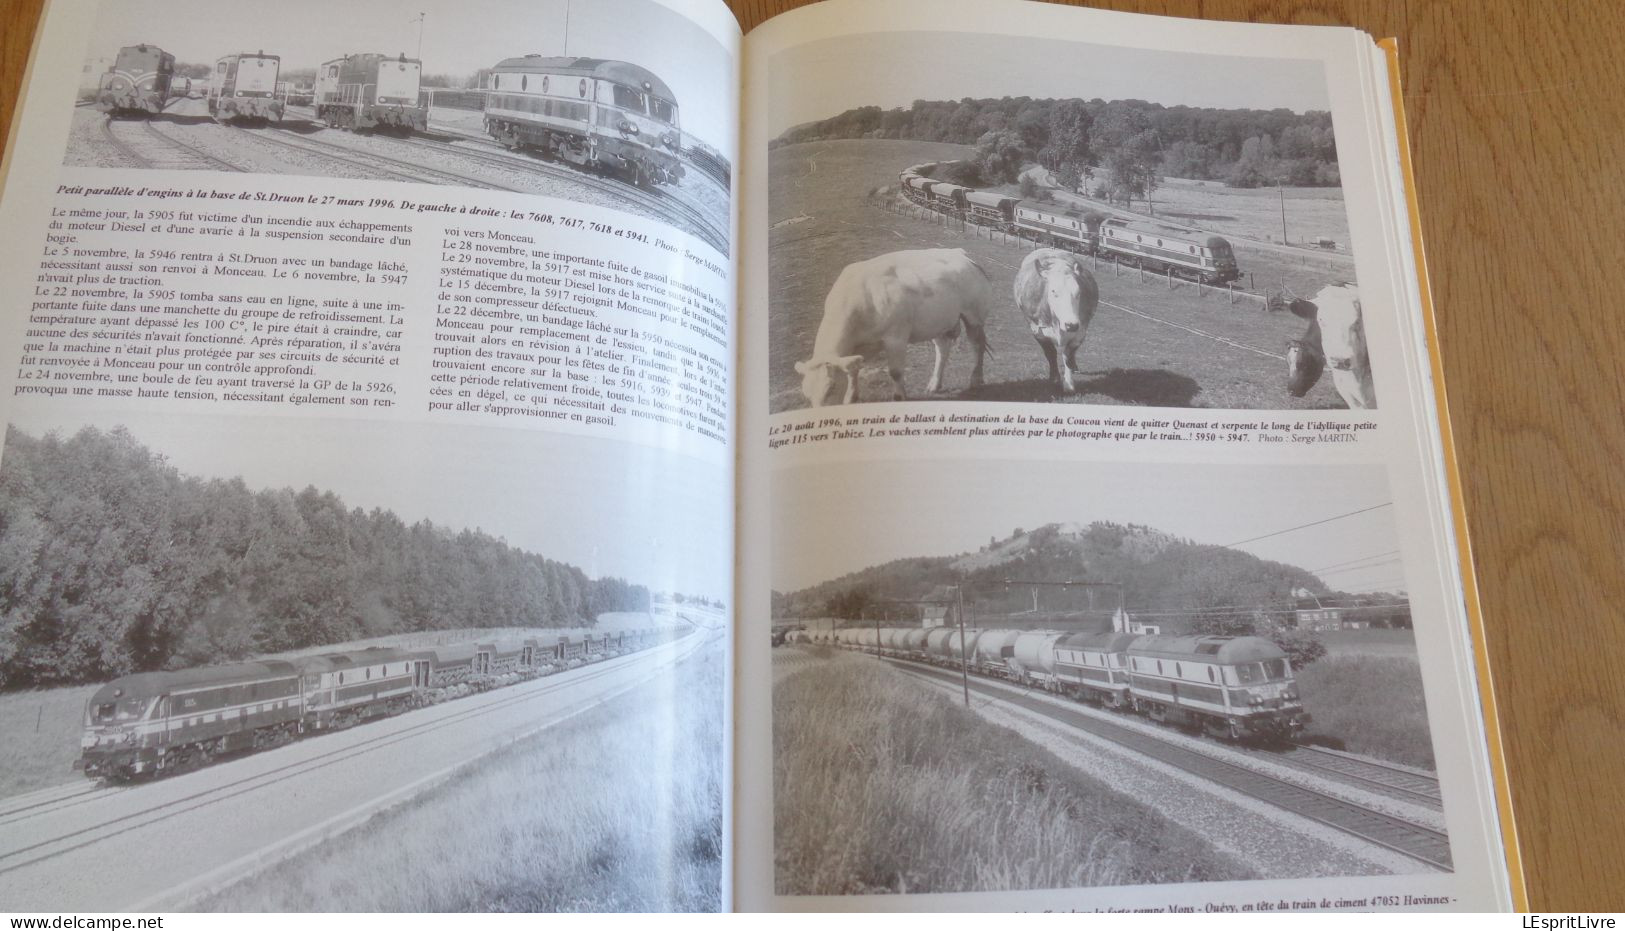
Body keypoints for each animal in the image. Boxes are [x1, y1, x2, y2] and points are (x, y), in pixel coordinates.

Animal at [793, 246, 994, 406]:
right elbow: (853, 371)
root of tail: (960, 253)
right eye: (806, 394)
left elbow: (895, 372)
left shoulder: (896, 337)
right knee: (942, 349)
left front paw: (899, 397)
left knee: (977, 345)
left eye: (831, 388)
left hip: (973, 314)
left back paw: (976, 379)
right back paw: (934, 384)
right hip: (939, 320)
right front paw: (851, 398)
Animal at [1014, 246, 1105, 391]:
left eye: (1078, 292)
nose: (1071, 325)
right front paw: (1055, 378)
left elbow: (1068, 355)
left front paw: (1069, 384)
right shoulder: (1038, 331)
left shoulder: (1080, 331)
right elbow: (1050, 353)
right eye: (1053, 291)